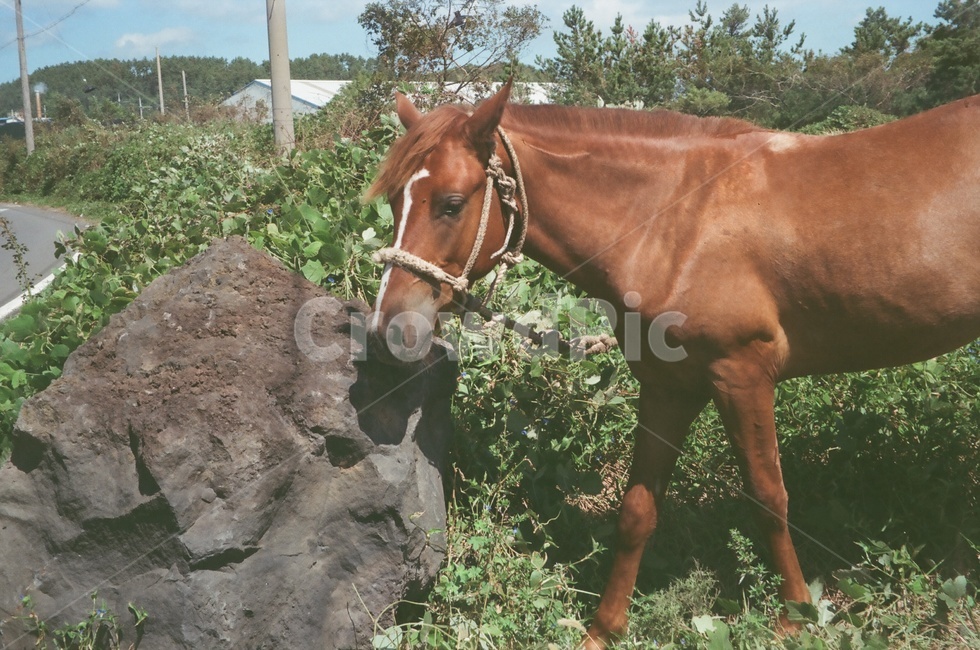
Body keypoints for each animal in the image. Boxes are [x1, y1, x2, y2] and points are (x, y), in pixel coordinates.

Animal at [364, 79, 980, 647]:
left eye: (452, 204)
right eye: (395, 202)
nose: (388, 330)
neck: (679, 218)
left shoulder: (741, 375)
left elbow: (768, 497)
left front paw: (796, 617)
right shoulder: (668, 387)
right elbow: (638, 511)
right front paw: (604, 630)